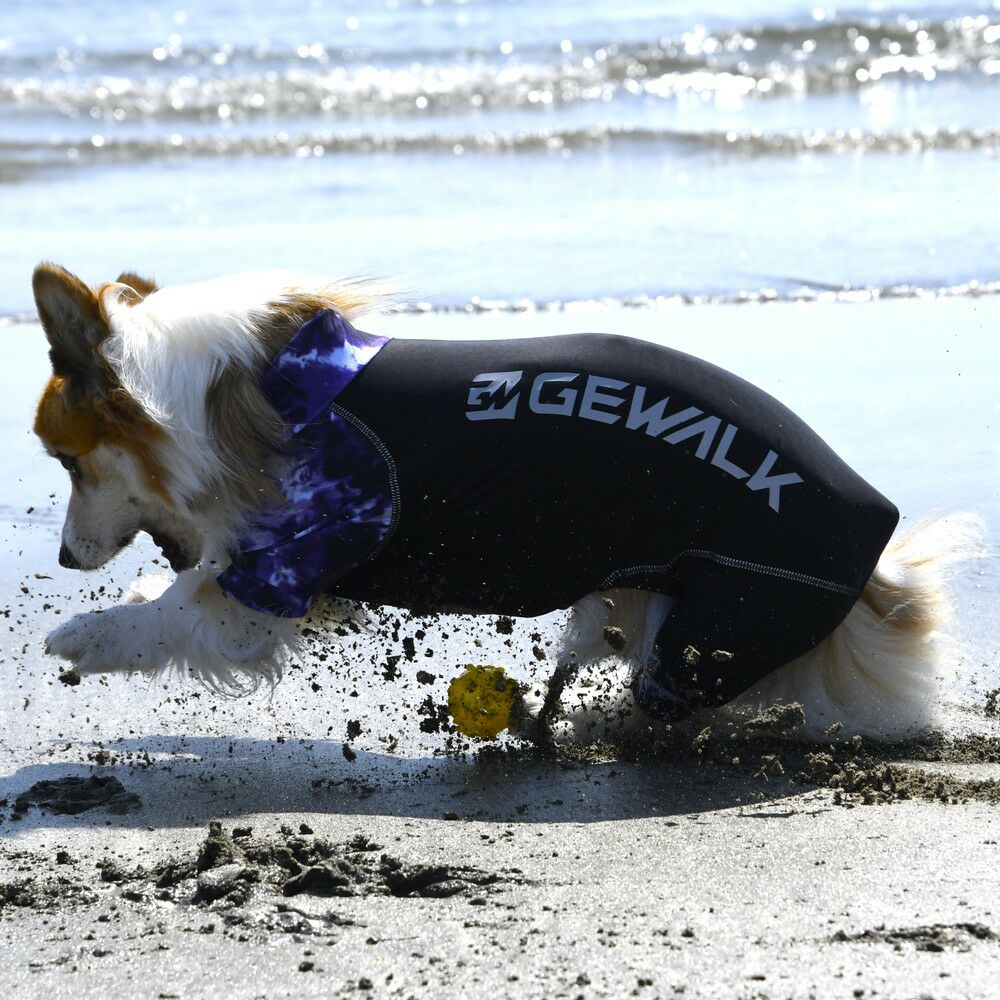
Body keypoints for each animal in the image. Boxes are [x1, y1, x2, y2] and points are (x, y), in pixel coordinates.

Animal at [33, 263, 982, 742]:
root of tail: (874, 559)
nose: (63, 559)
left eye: (66, 463)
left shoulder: (281, 569)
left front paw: (82, 634)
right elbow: (177, 590)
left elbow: (170, 615)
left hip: (719, 624)